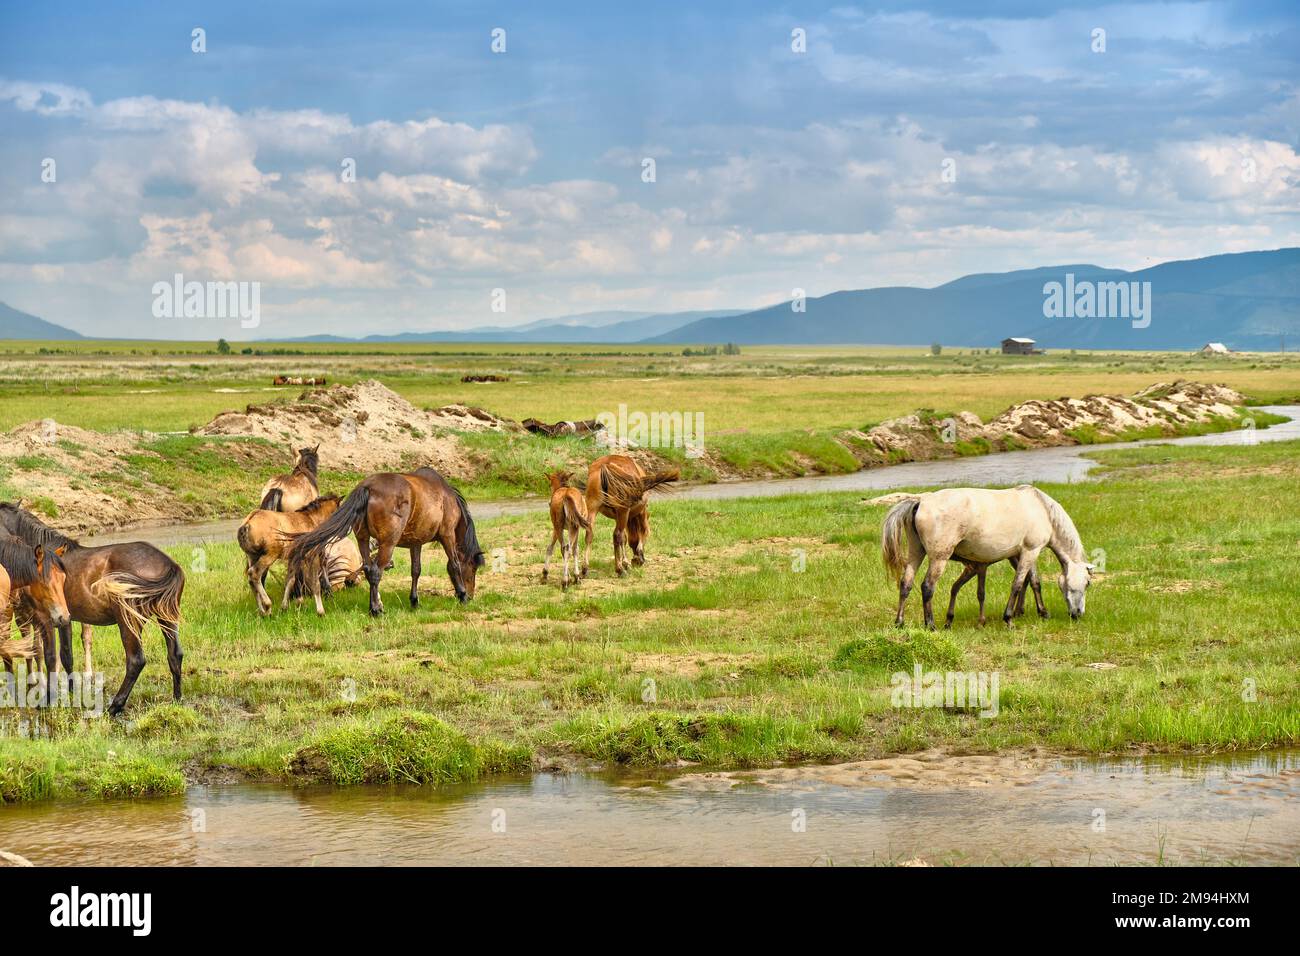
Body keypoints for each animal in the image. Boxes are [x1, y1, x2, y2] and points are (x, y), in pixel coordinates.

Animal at [0, 504, 185, 712]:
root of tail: (169, 564)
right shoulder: (64, 619)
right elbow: (65, 657)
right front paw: (70, 692)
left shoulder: (51, 619)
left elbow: (55, 656)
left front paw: (51, 698)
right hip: (167, 618)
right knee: (175, 655)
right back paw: (176, 699)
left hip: (128, 622)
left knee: (136, 660)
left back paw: (115, 706)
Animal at [287, 468, 486, 616]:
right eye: (473, 568)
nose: (472, 595)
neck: (446, 496)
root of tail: (367, 487)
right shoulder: (447, 535)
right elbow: (454, 564)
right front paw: (462, 595)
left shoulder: (415, 543)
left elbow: (416, 570)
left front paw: (414, 601)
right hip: (388, 543)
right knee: (376, 572)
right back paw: (376, 609)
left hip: (363, 540)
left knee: (368, 569)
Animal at [878, 486, 1092, 629]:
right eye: (1087, 583)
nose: (1078, 614)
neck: (1041, 509)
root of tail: (921, 501)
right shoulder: (1031, 551)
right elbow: (1017, 584)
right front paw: (1009, 618)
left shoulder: (1024, 552)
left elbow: (1033, 582)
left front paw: (1042, 612)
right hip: (939, 557)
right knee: (927, 587)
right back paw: (930, 625)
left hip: (916, 553)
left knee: (906, 583)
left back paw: (899, 622)